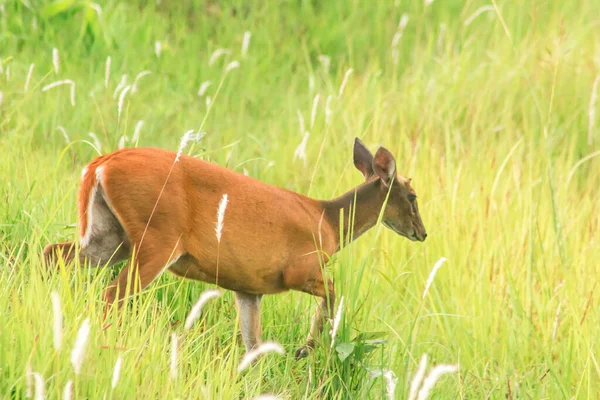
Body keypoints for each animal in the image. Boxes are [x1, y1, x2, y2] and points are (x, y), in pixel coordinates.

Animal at [45, 138, 426, 360]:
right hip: (156, 238)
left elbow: (252, 344)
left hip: (109, 236)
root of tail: (100, 164)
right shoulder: (299, 269)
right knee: (112, 294)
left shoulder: (249, 286)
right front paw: (305, 348)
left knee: (53, 253)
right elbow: (334, 292)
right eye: (412, 197)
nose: (421, 233)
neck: (328, 222)